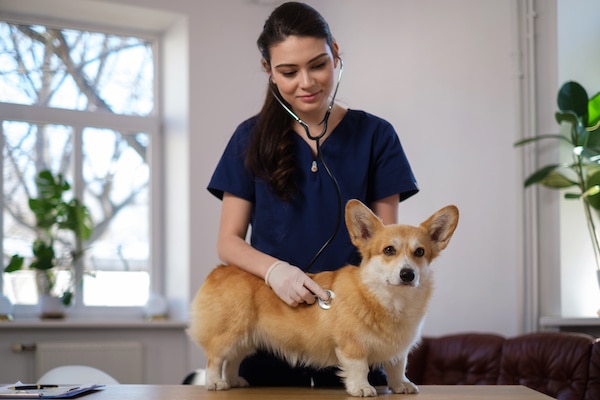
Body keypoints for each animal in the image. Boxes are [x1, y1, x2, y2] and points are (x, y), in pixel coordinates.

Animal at [189, 200, 460, 396]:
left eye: (420, 252)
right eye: (389, 250)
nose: (408, 274)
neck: (389, 300)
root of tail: (219, 270)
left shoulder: (398, 350)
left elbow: (397, 366)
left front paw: (401, 385)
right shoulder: (352, 346)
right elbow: (359, 367)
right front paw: (362, 388)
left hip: (246, 339)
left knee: (233, 360)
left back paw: (234, 380)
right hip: (228, 333)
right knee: (216, 359)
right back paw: (216, 383)